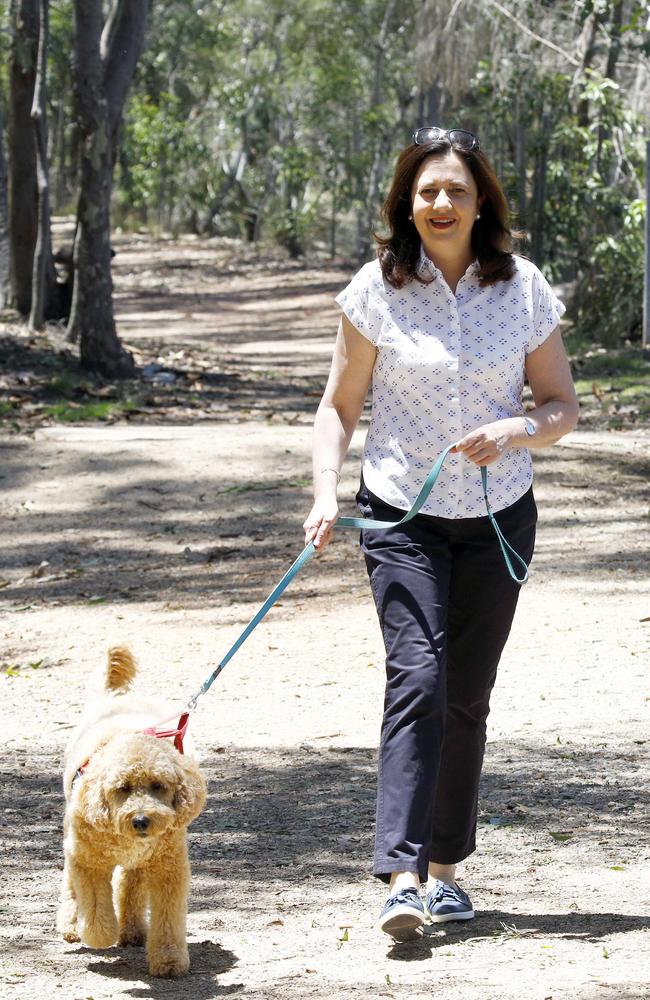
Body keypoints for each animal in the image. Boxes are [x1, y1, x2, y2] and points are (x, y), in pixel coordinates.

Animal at [58, 648, 206, 976]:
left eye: (158, 785)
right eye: (122, 788)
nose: (141, 820)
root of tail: (115, 698)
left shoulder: (169, 868)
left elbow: (168, 918)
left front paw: (169, 960)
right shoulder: (88, 862)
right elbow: (95, 909)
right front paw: (99, 934)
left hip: (139, 863)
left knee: (130, 886)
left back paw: (132, 930)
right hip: (74, 842)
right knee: (72, 883)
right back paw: (73, 924)